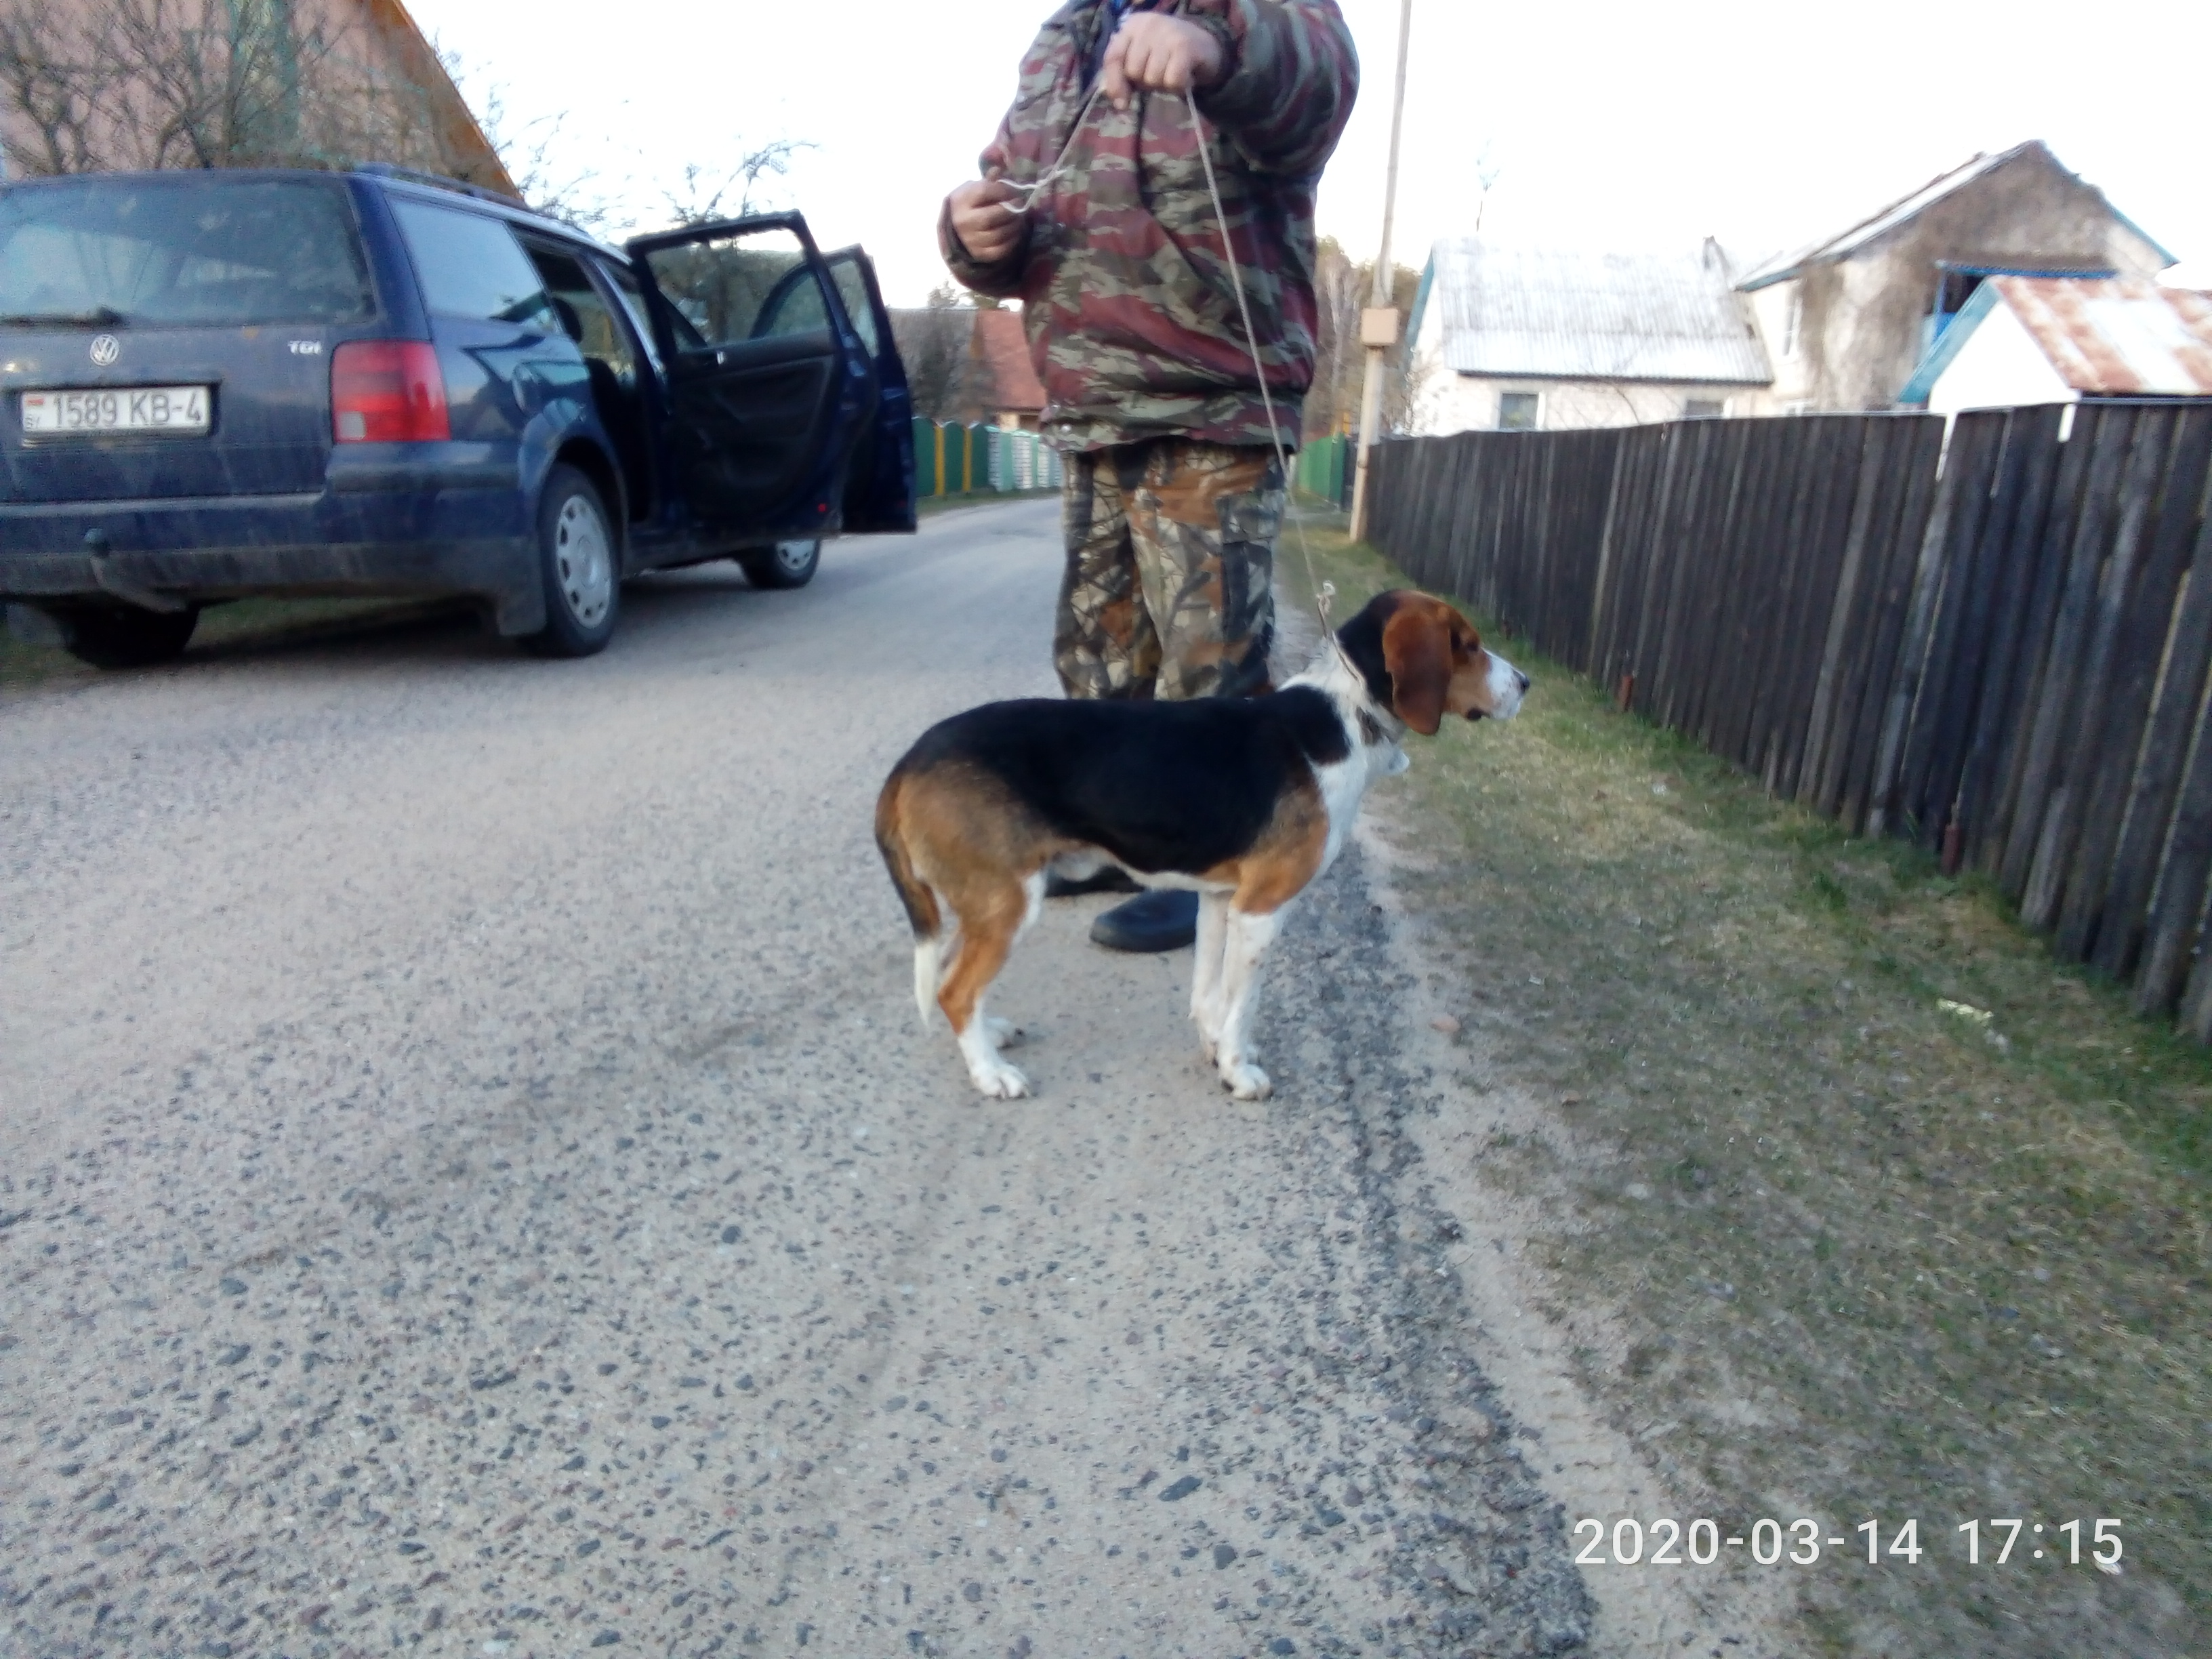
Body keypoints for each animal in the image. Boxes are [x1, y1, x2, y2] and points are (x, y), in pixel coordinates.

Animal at [875, 590, 1528, 1100]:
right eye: (1467, 645)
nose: (1526, 682)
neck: (1349, 711)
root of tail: (909, 761)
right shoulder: (1262, 909)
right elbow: (1244, 1004)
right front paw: (1240, 1073)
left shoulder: (1218, 901)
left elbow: (1210, 995)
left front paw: (1215, 1048)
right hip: (1007, 902)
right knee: (955, 991)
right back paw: (991, 1075)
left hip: (984, 901)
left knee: (951, 976)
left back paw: (990, 1036)